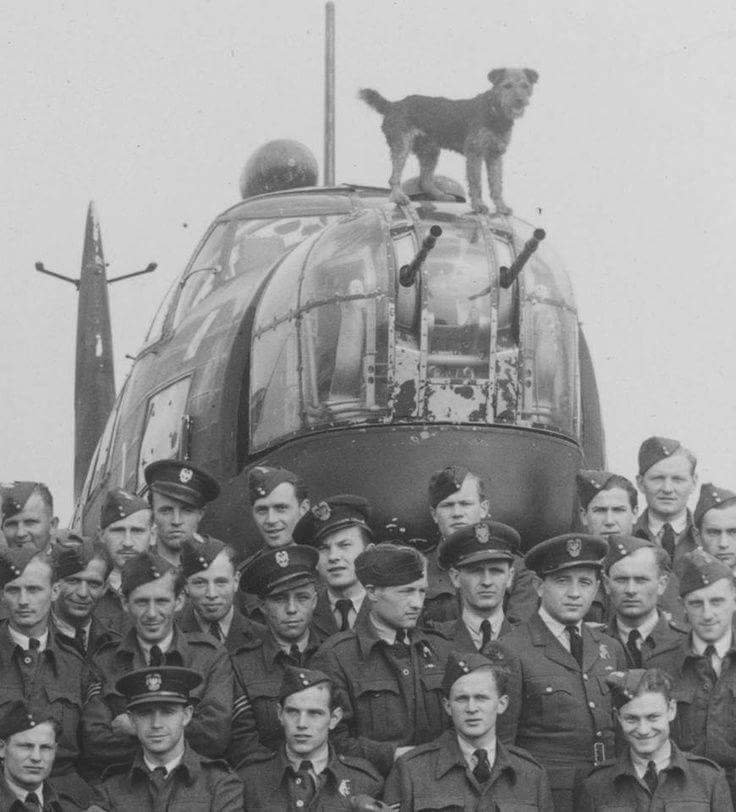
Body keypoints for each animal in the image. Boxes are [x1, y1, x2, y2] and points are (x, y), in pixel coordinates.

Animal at [359, 68, 538, 215]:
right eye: (507, 86)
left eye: (525, 86)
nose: (520, 100)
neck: (494, 112)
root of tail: (393, 105)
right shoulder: (475, 153)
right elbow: (476, 183)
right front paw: (479, 205)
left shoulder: (495, 155)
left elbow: (496, 185)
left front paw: (501, 207)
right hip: (402, 146)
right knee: (395, 177)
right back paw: (399, 197)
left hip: (430, 151)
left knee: (425, 180)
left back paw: (441, 196)